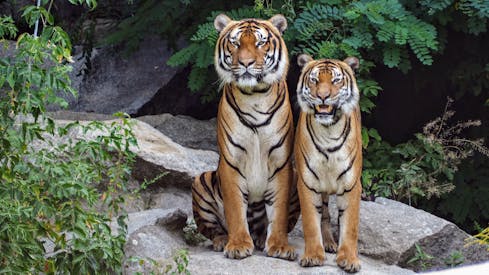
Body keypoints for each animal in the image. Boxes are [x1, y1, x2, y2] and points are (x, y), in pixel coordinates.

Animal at [190, 14, 298, 262]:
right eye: (236, 43)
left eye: (260, 43)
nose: (246, 63)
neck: (255, 95)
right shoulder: (231, 161)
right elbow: (235, 209)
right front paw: (238, 245)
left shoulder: (281, 162)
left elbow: (278, 213)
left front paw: (279, 246)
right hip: (201, 180)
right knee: (212, 229)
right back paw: (223, 240)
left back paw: (261, 238)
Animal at [292, 54, 360, 274]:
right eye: (314, 80)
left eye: (336, 80)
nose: (323, 96)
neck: (328, 131)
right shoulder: (307, 183)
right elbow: (311, 223)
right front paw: (313, 255)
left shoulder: (351, 185)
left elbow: (350, 226)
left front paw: (349, 259)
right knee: (324, 215)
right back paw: (328, 242)